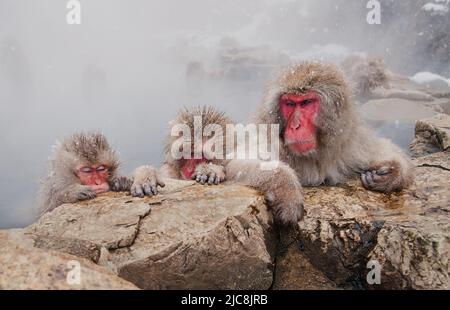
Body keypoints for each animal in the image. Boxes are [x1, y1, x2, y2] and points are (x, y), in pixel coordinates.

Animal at [227, 61, 414, 225]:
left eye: (306, 102)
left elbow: (381, 147)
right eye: (289, 103)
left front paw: (392, 172)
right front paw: (287, 191)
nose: (295, 126)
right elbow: (236, 164)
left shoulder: (349, 143)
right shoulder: (266, 137)